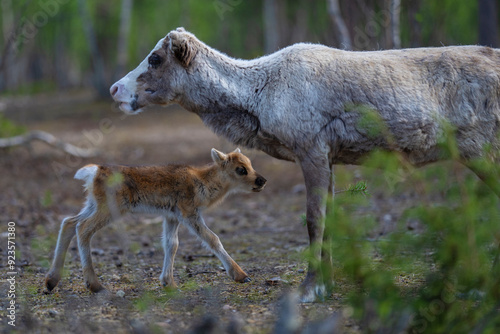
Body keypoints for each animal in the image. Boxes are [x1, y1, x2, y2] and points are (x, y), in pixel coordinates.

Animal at [45, 149, 268, 292]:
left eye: (250, 164)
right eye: (241, 169)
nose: (262, 180)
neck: (203, 182)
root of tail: (93, 172)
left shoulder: (171, 216)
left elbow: (171, 244)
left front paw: (168, 282)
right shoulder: (188, 213)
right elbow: (212, 238)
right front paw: (240, 275)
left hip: (92, 204)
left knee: (68, 222)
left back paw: (51, 281)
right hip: (109, 208)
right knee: (82, 228)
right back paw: (95, 285)